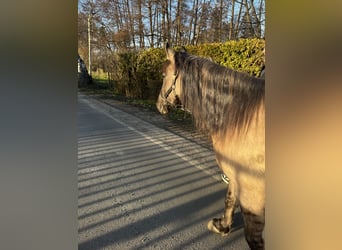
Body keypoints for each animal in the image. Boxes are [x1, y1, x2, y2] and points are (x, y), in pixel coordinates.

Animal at [156, 43, 266, 250]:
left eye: (164, 75)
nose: (159, 104)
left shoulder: (252, 192)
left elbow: (253, 236)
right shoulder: (235, 174)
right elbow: (229, 198)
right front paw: (222, 226)